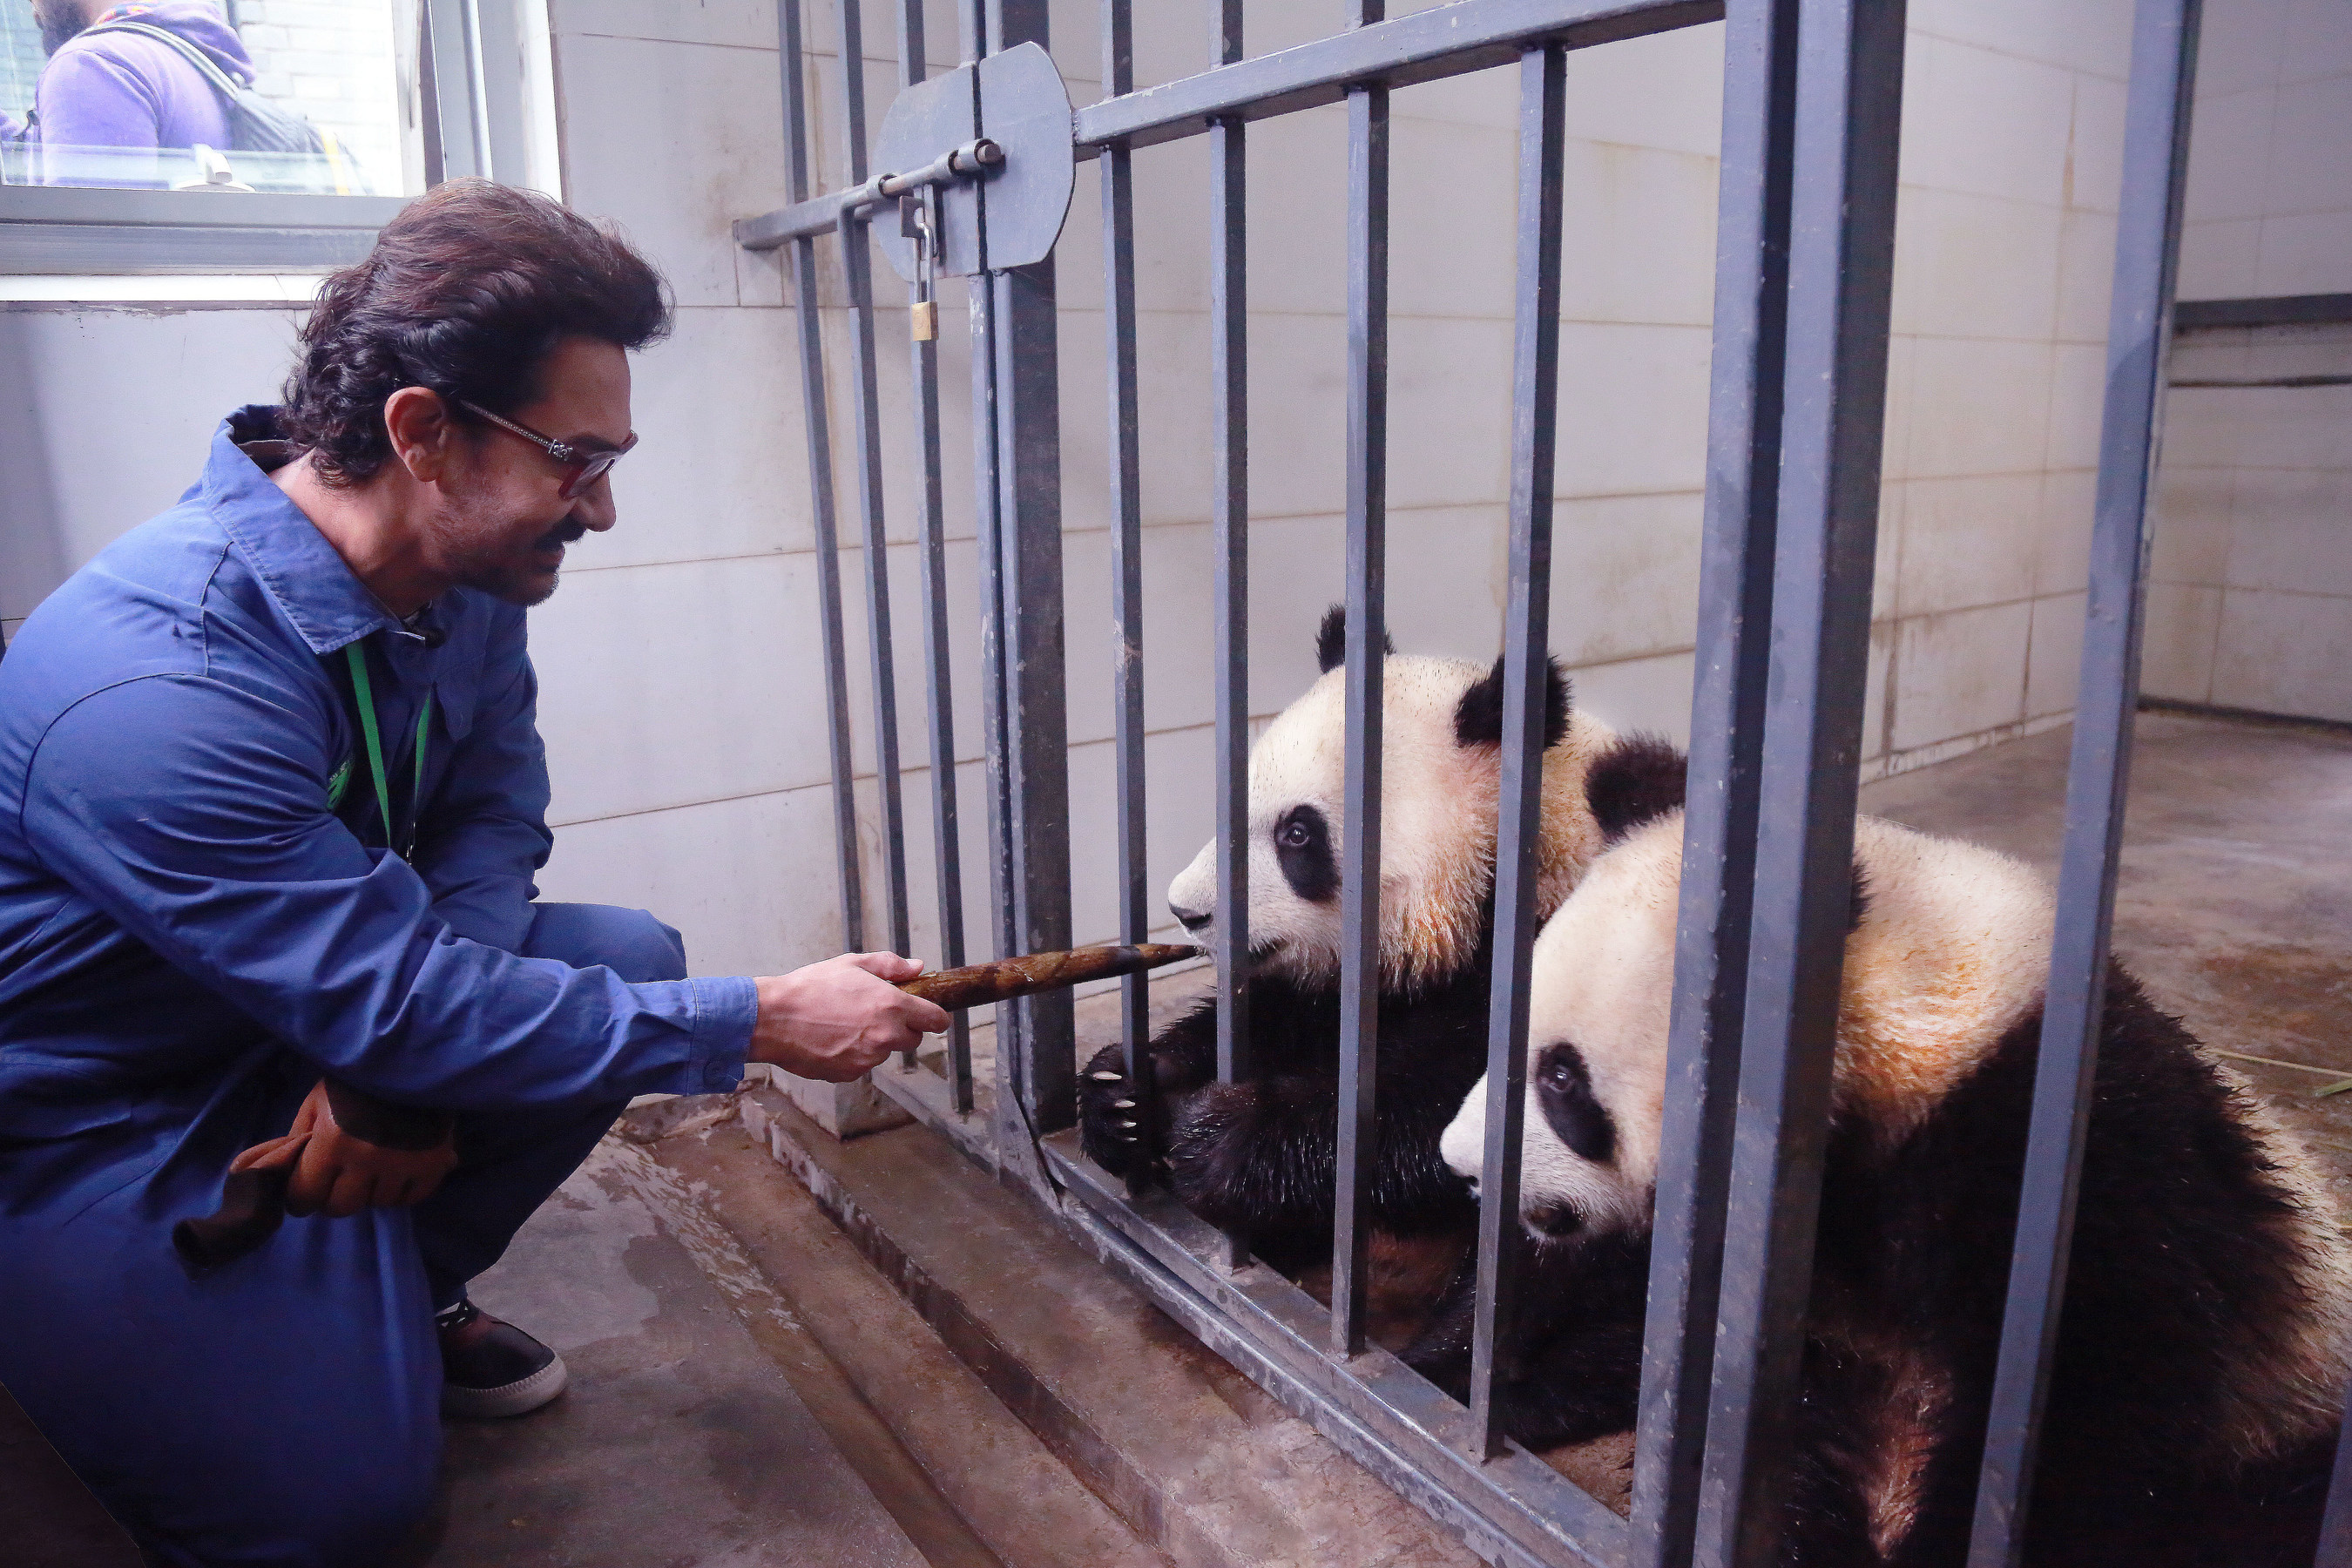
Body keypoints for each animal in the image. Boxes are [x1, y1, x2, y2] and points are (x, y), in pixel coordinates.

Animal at [1077, 606, 1684, 1297]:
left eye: (1297, 834)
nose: (1187, 912)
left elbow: (1442, 1118)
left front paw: (1221, 1140)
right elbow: (1276, 1021)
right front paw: (1125, 1095)